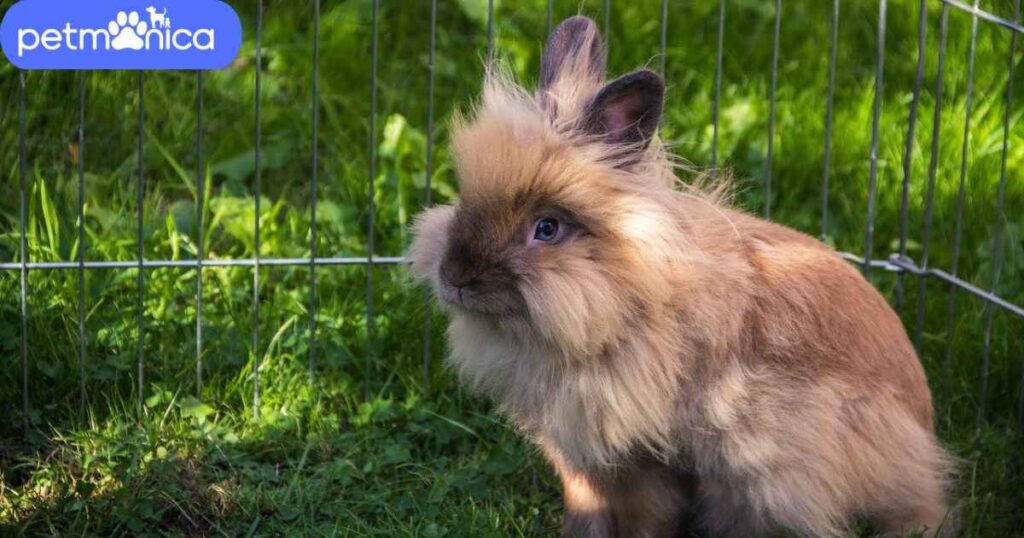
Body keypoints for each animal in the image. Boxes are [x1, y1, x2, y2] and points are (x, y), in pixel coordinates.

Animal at [405, 16, 950, 536]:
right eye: (465, 199)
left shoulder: (644, 458)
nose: (456, 276)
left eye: (547, 228)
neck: (625, 297)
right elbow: (585, 506)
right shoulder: (580, 461)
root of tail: (922, 448)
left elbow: (650, 516)